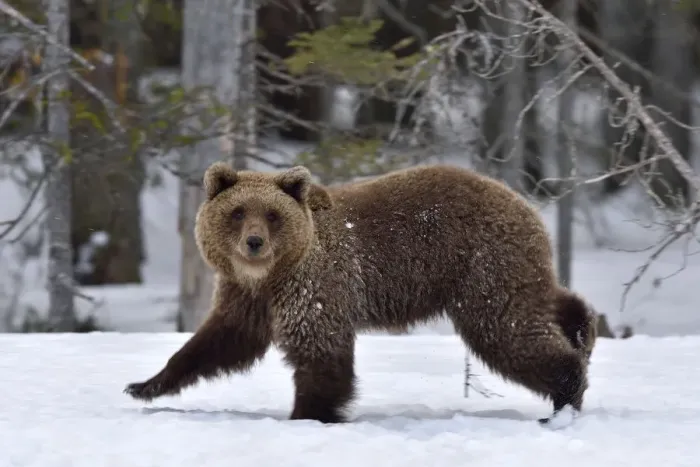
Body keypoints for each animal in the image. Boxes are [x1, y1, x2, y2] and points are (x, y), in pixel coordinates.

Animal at [124, 162, 597, 424]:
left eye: (272, 214)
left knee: (506, 328)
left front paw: (307, 413)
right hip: (504, 267)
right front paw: (144, 385)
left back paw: (564, 393)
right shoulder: (246, 296)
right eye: (238, 211)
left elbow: (320, 354)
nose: (254, 242)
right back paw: (583, 330)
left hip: (480, 262)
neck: (270, 275)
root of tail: (525, 204)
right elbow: (217, 342)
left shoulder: (315, 285)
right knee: (542, 301)